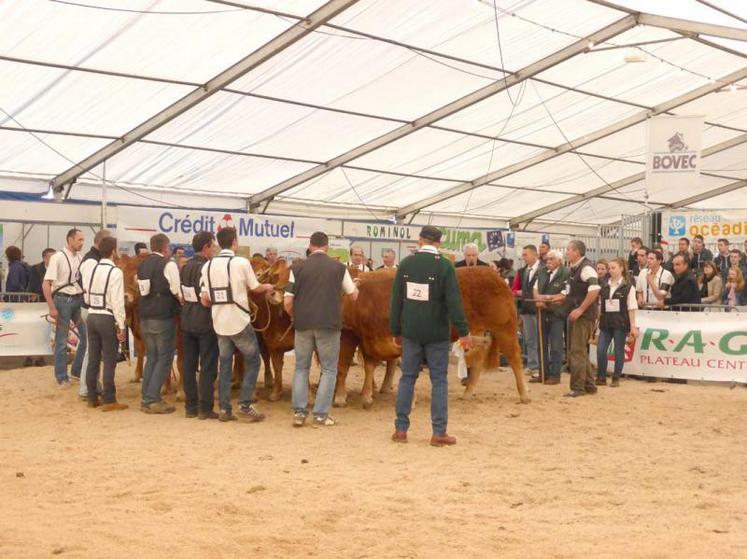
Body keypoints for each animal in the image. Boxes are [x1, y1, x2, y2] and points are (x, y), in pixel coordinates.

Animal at [336, 266, 528, 406]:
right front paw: (367, 396)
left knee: (515, 358)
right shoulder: (368, 340)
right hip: (478, 332)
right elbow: (369, 366)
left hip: (505, 329)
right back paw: (467, 394)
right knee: (479, 359)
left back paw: (524, 394)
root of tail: (493, 274)